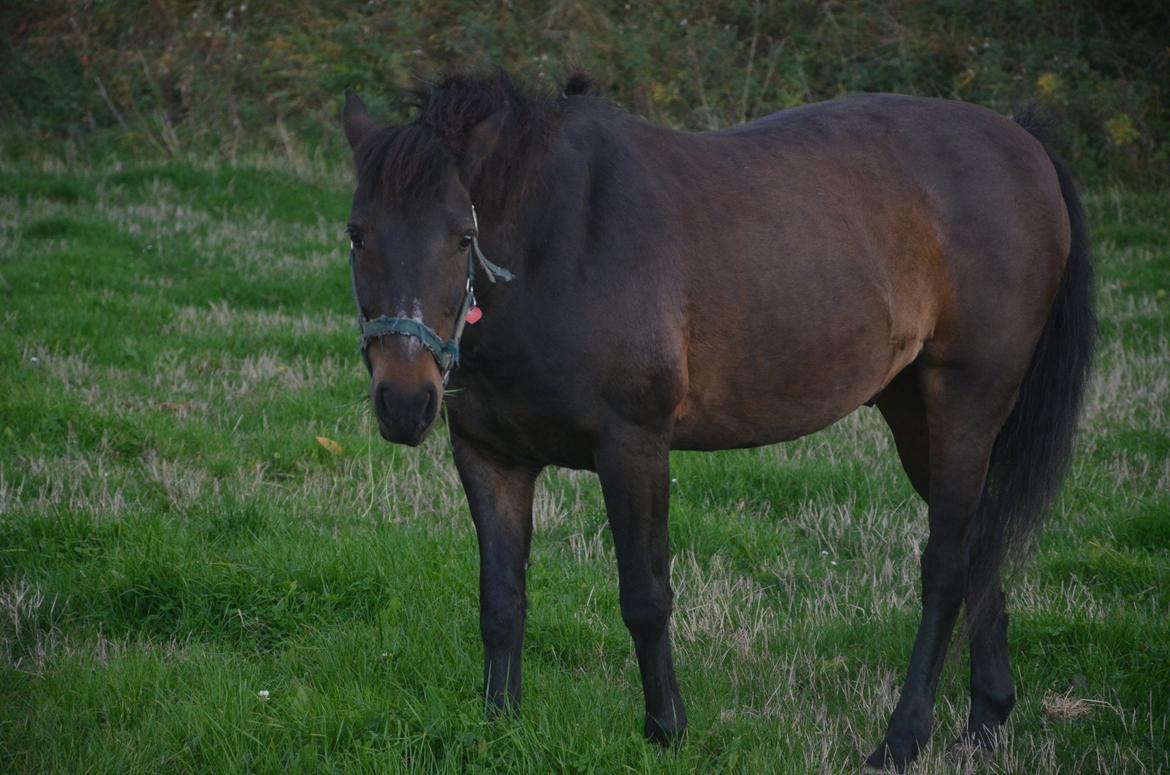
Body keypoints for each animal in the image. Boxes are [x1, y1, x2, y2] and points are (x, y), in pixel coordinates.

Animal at [339, 71, 1095, 772]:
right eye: (356, 235)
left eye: (462, 235)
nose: (404, 400)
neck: (555, 245)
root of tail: (1024, 145)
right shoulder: (490, 457)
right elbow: (500, 600)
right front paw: (500, 725)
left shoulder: (633, 446)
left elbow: (645, 596)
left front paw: (665, 729)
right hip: (917, 416)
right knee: (982, 546)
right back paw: (987, 719)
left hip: (966, 404)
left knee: (946, 564)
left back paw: (902, 738)